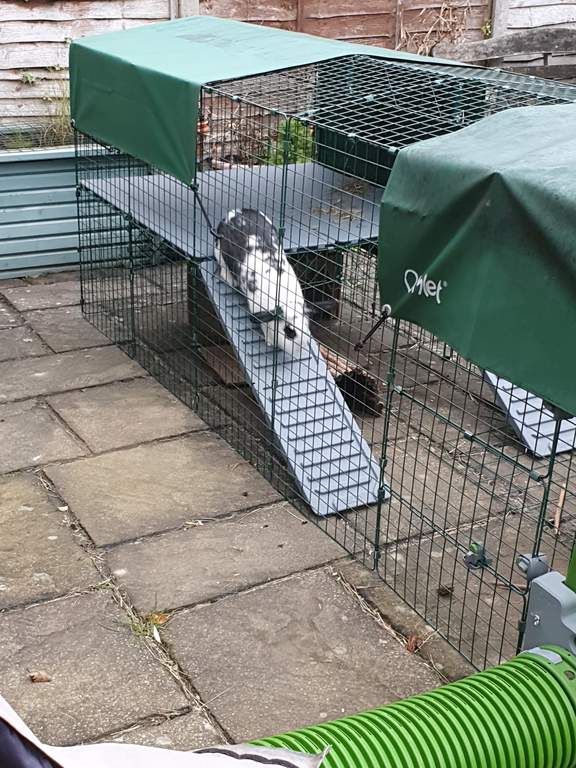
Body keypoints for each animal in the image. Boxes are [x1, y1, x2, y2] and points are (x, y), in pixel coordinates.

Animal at [214, 208, 311, 357]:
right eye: (289, 331)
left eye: (306, 325)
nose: (300, 348)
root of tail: (233, 213)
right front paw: (270, 342)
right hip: (219, 252)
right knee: (224, 267)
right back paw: (231, 281)